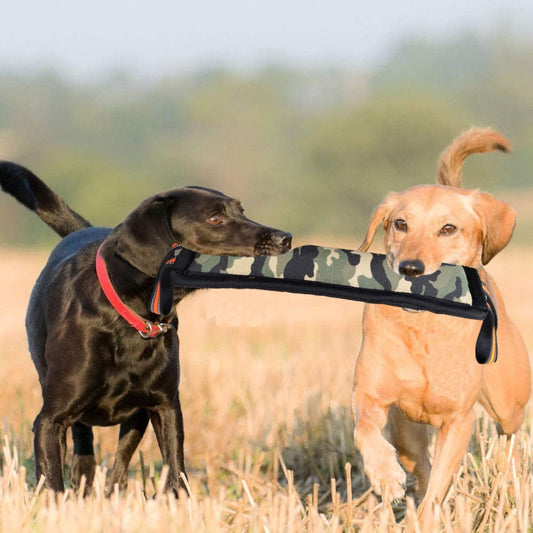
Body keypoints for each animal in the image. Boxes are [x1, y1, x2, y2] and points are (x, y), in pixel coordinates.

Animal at [0, 160, 290, 492]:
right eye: (215, 218)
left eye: (241, 210)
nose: (285, 237)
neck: (132, 319)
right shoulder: (50, 420)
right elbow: (52, 482)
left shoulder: (165, 406)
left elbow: (176, 472)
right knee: (84, 448)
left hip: (137, 416)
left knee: (118, 465)